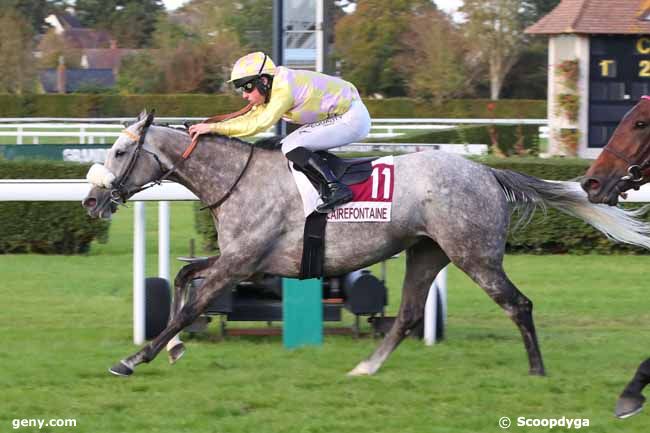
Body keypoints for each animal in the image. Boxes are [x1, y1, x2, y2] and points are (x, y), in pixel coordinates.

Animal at [83, 109, 648, 384]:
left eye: (120, 152)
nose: (91, 200)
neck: (238, 179)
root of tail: (488, 171)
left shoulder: (243, 260)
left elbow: (191, 304)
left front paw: (134, 359)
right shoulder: (244, 260)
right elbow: (183, 279)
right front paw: (173, 348)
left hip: (474, 255)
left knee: (518, 304)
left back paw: (536, 371)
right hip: (427, 252)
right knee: (408, 314)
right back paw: (366, 368)